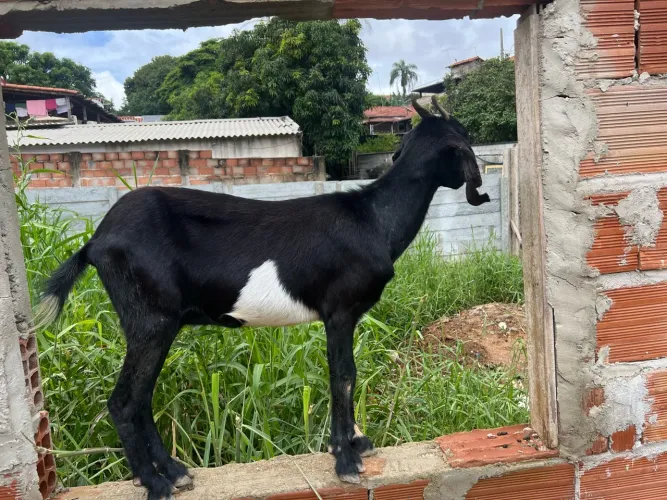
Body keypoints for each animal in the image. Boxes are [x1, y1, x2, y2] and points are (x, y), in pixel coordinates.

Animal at [35, 95, 489, 500]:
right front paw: (345, 459)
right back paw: (156, 484)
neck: (374, 219)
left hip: (154, 323)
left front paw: (353, 445)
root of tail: (95, 242)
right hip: (150, 320)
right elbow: (343, 375)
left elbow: (345, 374)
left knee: (141, 399)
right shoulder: (339, 311)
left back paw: (176, 472)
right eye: (464, 139)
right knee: (125, 401)